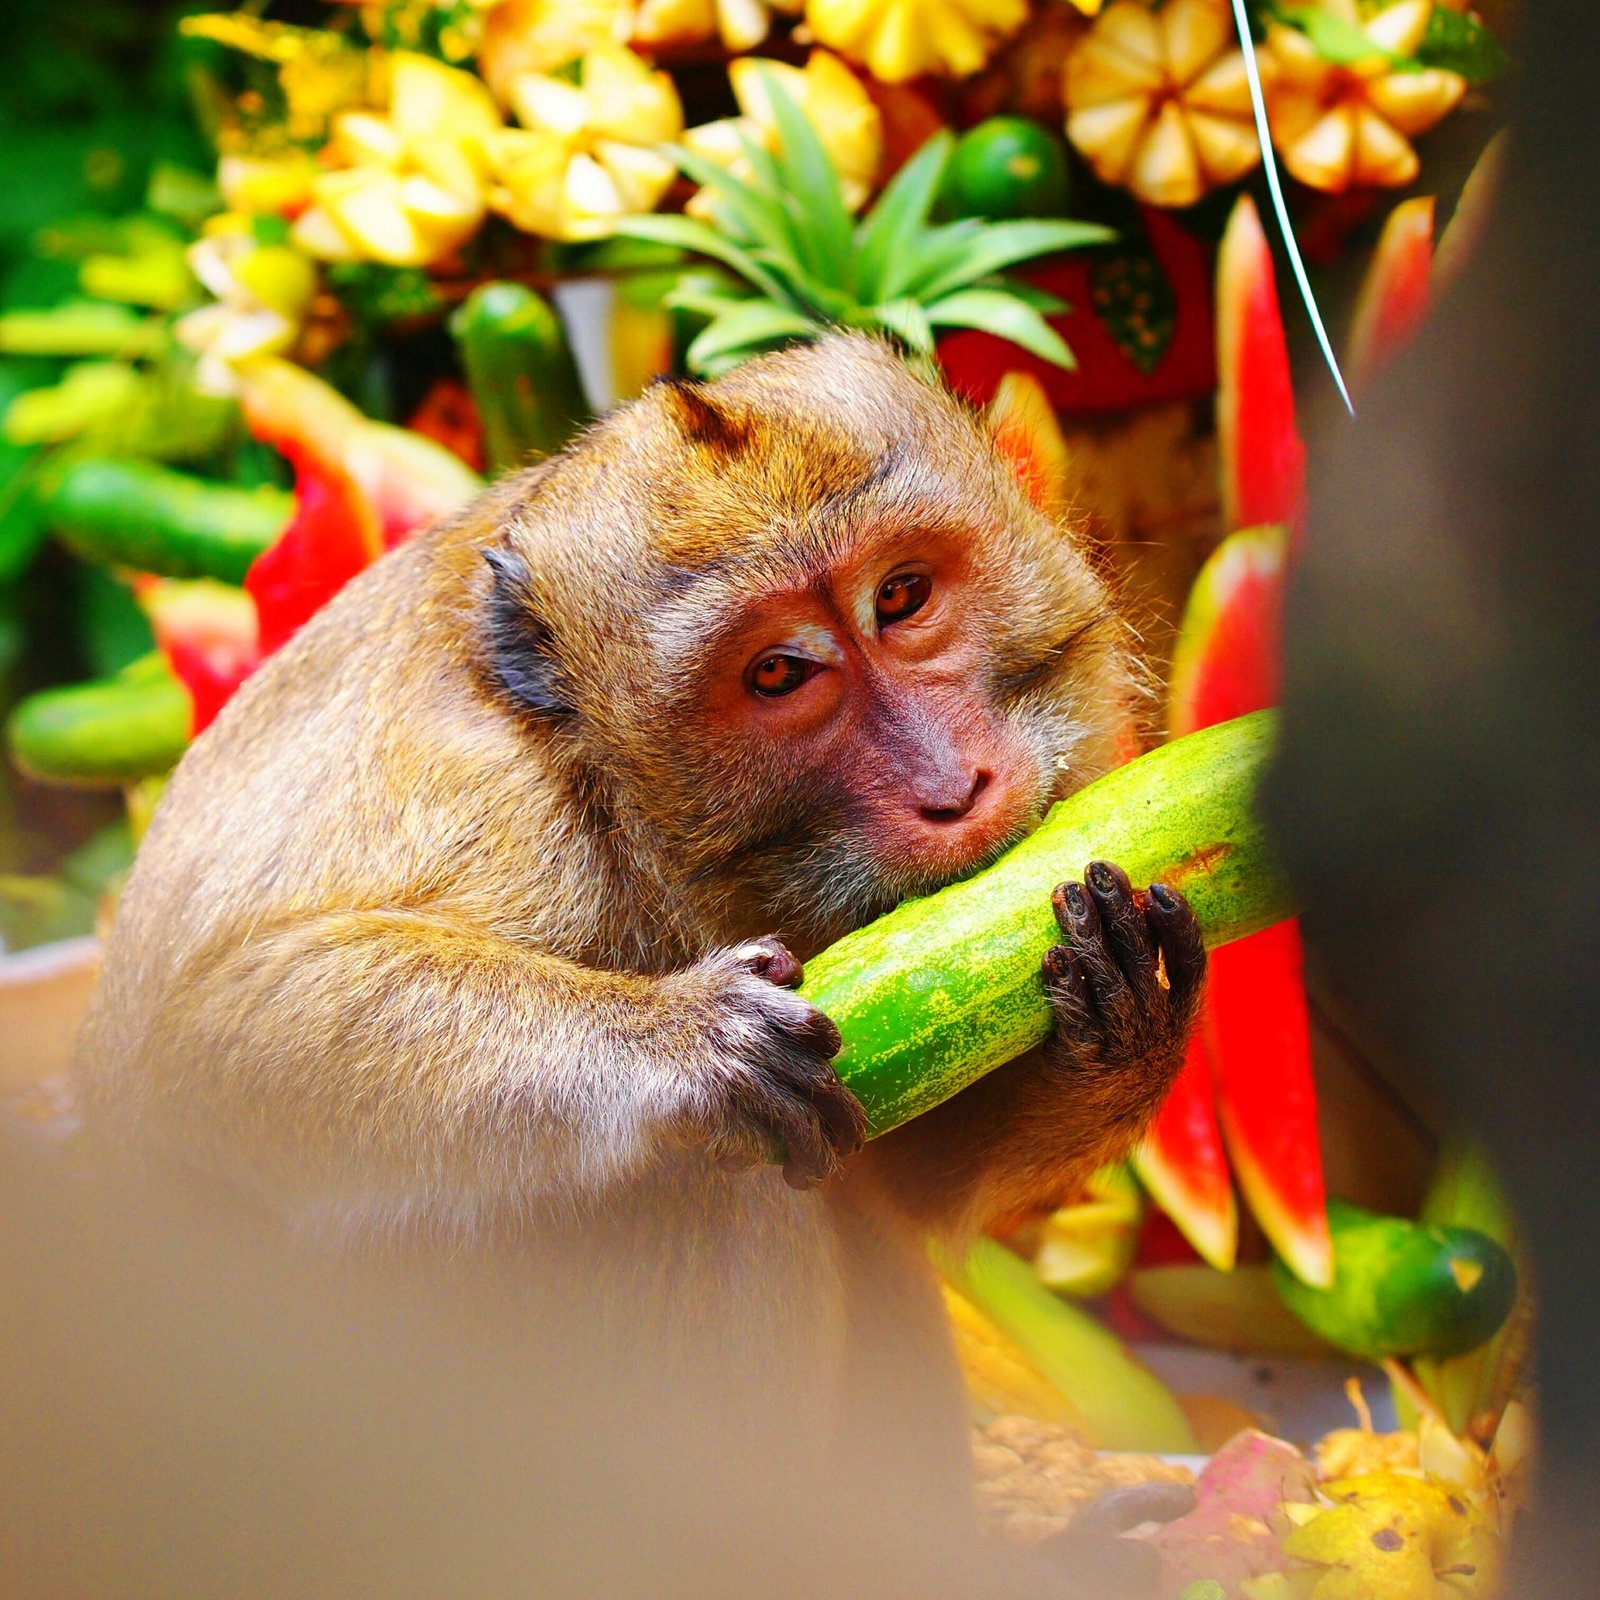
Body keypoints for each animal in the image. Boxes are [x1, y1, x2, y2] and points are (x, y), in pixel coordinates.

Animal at [75, 334, 1203, 1587]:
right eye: (778, 674)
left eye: (900, 597)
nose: (954, 784)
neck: (606, 775)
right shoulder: (496, 803)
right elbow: (216, 1042)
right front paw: (686, 1044)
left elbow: (902, 1172)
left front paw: (1122, 1002)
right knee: (708, 1189)